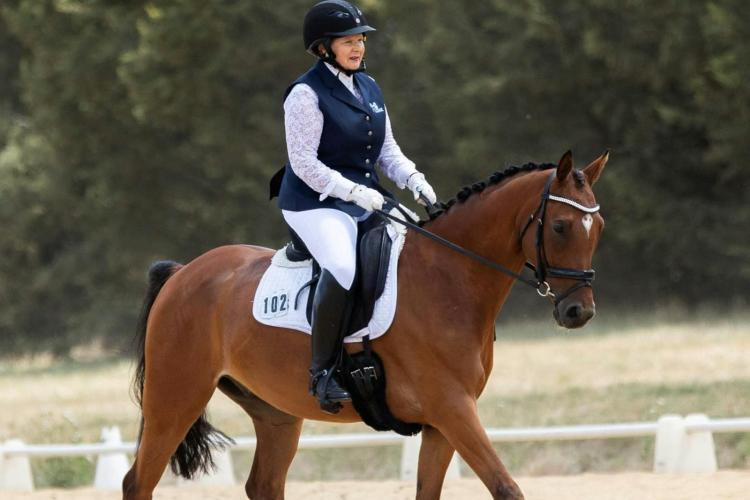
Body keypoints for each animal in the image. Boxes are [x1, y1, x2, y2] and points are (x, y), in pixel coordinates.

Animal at [122, 150, 608, 500]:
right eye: (560, 226)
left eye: (598, 226)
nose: (578, 312)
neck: (448, 277)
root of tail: (184, 273)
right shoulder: (453, 408)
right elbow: (507, 489)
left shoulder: (442, 423)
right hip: (175, 400)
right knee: (137, 482)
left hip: (276, 414)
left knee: (264, 484)